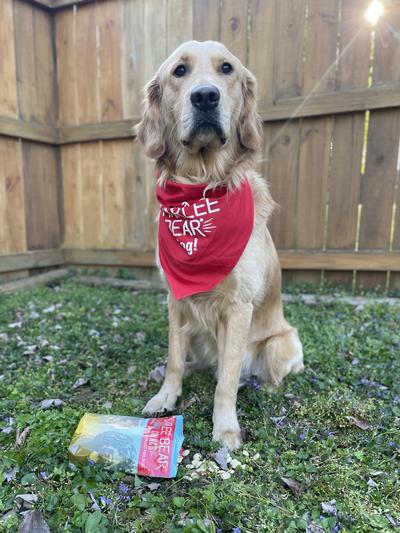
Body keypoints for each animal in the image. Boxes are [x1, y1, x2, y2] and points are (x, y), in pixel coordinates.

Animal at [138, 42, 304, 448]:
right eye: (179, 71)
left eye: (226, 68)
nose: (205, 96)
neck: (201, 186)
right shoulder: (175, 299)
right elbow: (174, 358)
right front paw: (166, 397)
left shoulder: (239, 307)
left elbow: (226, 379)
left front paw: (225, 428)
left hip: (282, 342)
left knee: (266, 372)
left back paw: (262, 385)